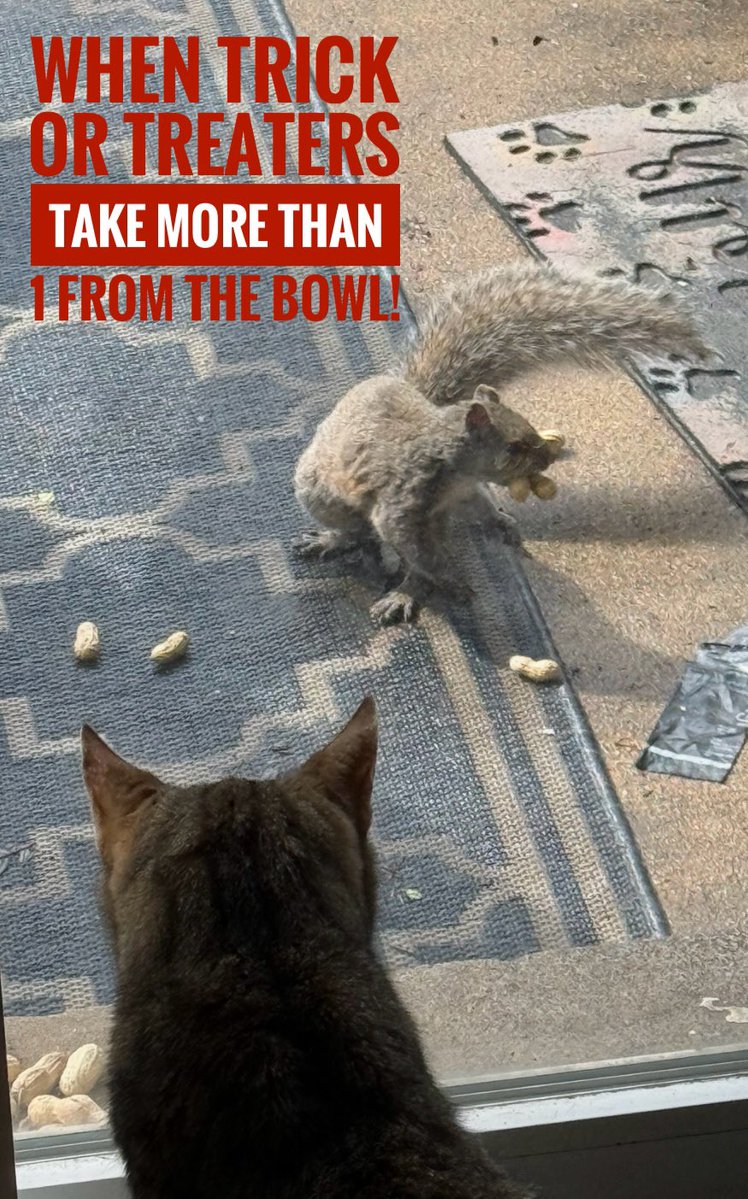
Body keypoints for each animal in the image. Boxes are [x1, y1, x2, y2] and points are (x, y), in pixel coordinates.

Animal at [293, 264, 708, 626]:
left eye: (530, 427)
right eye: (513, 449)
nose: (547, 460)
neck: (449, 463)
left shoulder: (464, 493)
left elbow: (477, 509)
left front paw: (502, 523)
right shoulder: (402, 503)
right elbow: (409, 543)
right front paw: (453, 578)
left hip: (434, 520)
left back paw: (408, 589)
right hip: (321, 495)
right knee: (358, 531)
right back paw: (339, 544)